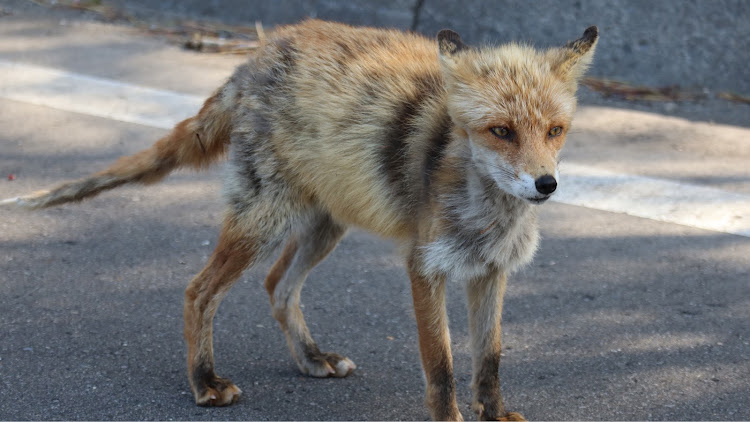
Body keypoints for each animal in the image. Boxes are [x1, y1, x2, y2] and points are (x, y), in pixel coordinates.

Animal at [1, 19, 600, 418]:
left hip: (324, 225)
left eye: (555, 131)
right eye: (501, 131)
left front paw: (493, 414)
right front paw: (450, 415)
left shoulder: (489, 271)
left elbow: (489, 361)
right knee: (199, 291)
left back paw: (311, 358)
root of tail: (259, 53)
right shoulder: (425, 267)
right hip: (263, 221)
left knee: (277, 286)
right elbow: (442, 366)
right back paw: (204, 381)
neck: (487, 211)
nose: (546, 185)